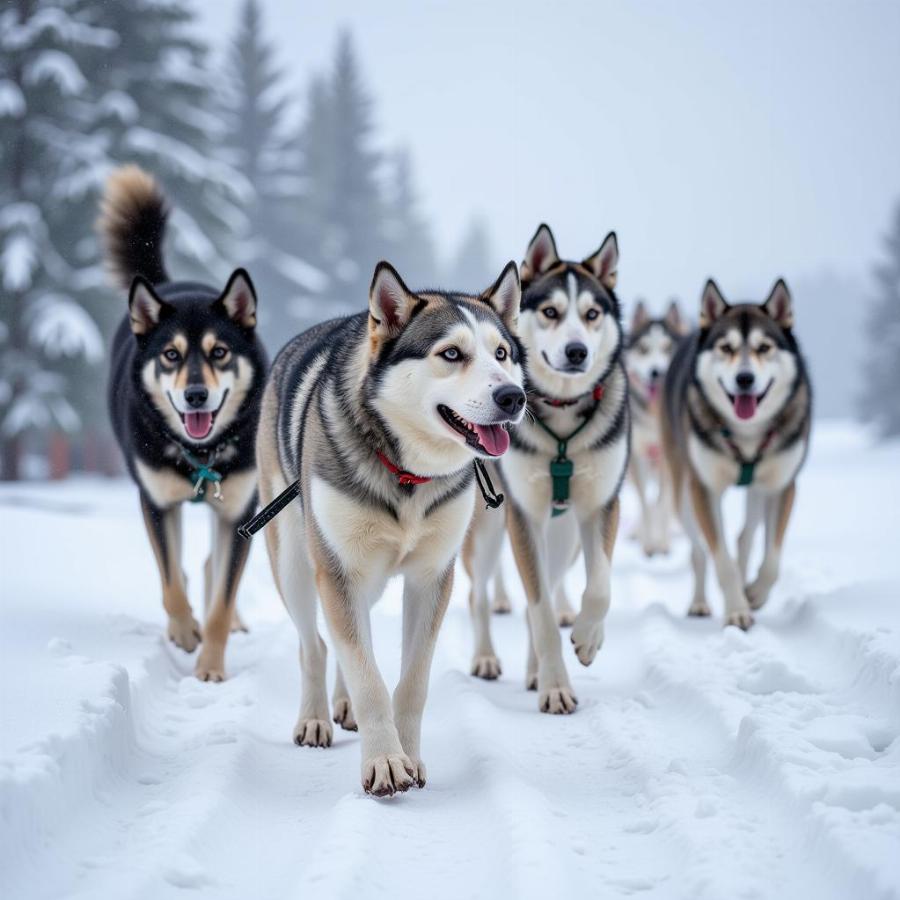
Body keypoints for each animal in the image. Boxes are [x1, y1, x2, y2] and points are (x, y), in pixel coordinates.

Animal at [101, 163, 268, 684]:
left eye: (220, 352)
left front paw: (210, 665)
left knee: (215, 564)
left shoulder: (240, 508)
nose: (196, 395)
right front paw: (184, 632)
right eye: (171, 355)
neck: (201, 455)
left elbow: (222, 595)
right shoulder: (156, 502)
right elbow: (171, 580)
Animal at [660, 280, 808, 624]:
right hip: (682, 494)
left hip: (757, 490)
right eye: (725, 348)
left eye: (764, 347)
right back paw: (700, 602)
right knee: (699, 552)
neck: (747, 434)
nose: (744, 379)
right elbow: (721, 558)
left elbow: (772, 558)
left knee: (746, 535)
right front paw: (737, 610)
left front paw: (754, 594)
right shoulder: (704, 488)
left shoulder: (781, 485)